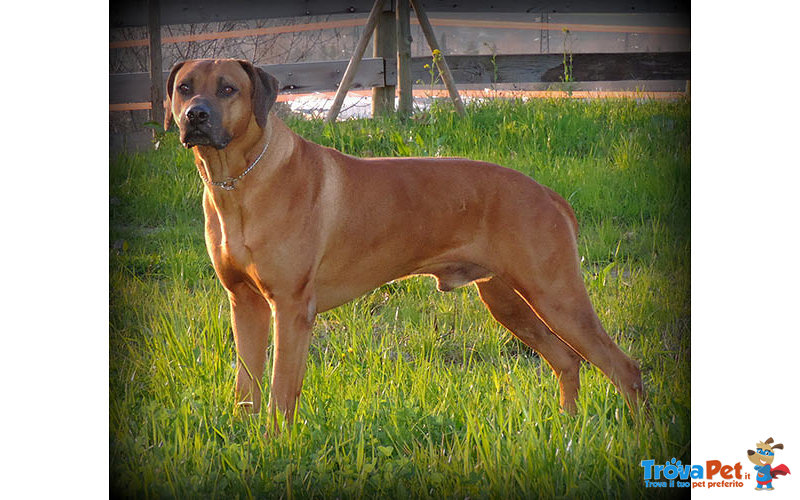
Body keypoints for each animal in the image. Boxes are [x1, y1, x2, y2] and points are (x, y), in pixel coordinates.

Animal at [162, 58, 644, 434]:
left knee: (624, 368)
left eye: (228, 89)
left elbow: (281, 392)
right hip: (508, 301)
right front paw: (244, 437)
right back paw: (567, 427)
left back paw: (637, 435)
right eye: (185, 87)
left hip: (556, 295)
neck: (238, 183)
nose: (195, 116)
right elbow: (246, 385)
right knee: (567, 361)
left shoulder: (292, 309)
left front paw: (275, 444)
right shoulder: (244, 302)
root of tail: (548, 193)